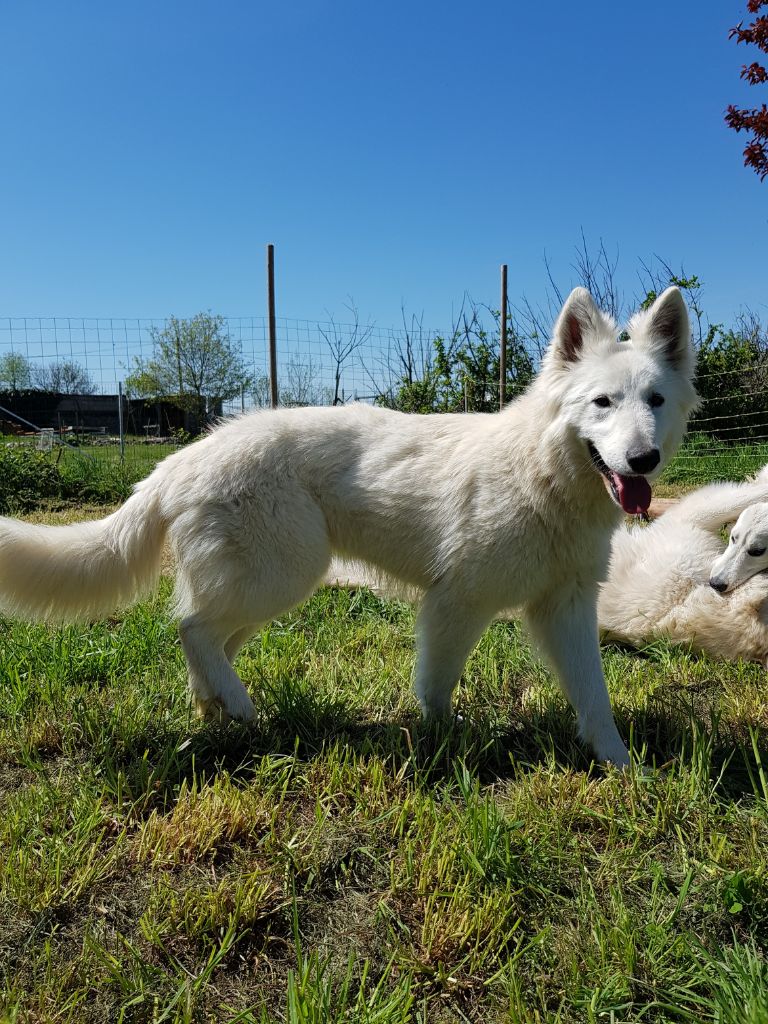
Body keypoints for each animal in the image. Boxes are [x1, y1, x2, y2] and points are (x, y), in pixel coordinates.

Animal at [0, 284, 696, 765]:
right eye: (601, 402)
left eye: (655, 401)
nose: (642, 461)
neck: (542, 474)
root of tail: (179, 461)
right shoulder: (457, 604)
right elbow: (436, 686)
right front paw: (444, 738)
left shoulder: (566, 608)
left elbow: (594, 695)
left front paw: (620, 765)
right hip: (280, 577)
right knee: (192, 628)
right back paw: (243, 708)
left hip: (262, 588)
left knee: (201, 637)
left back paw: (217, 709)